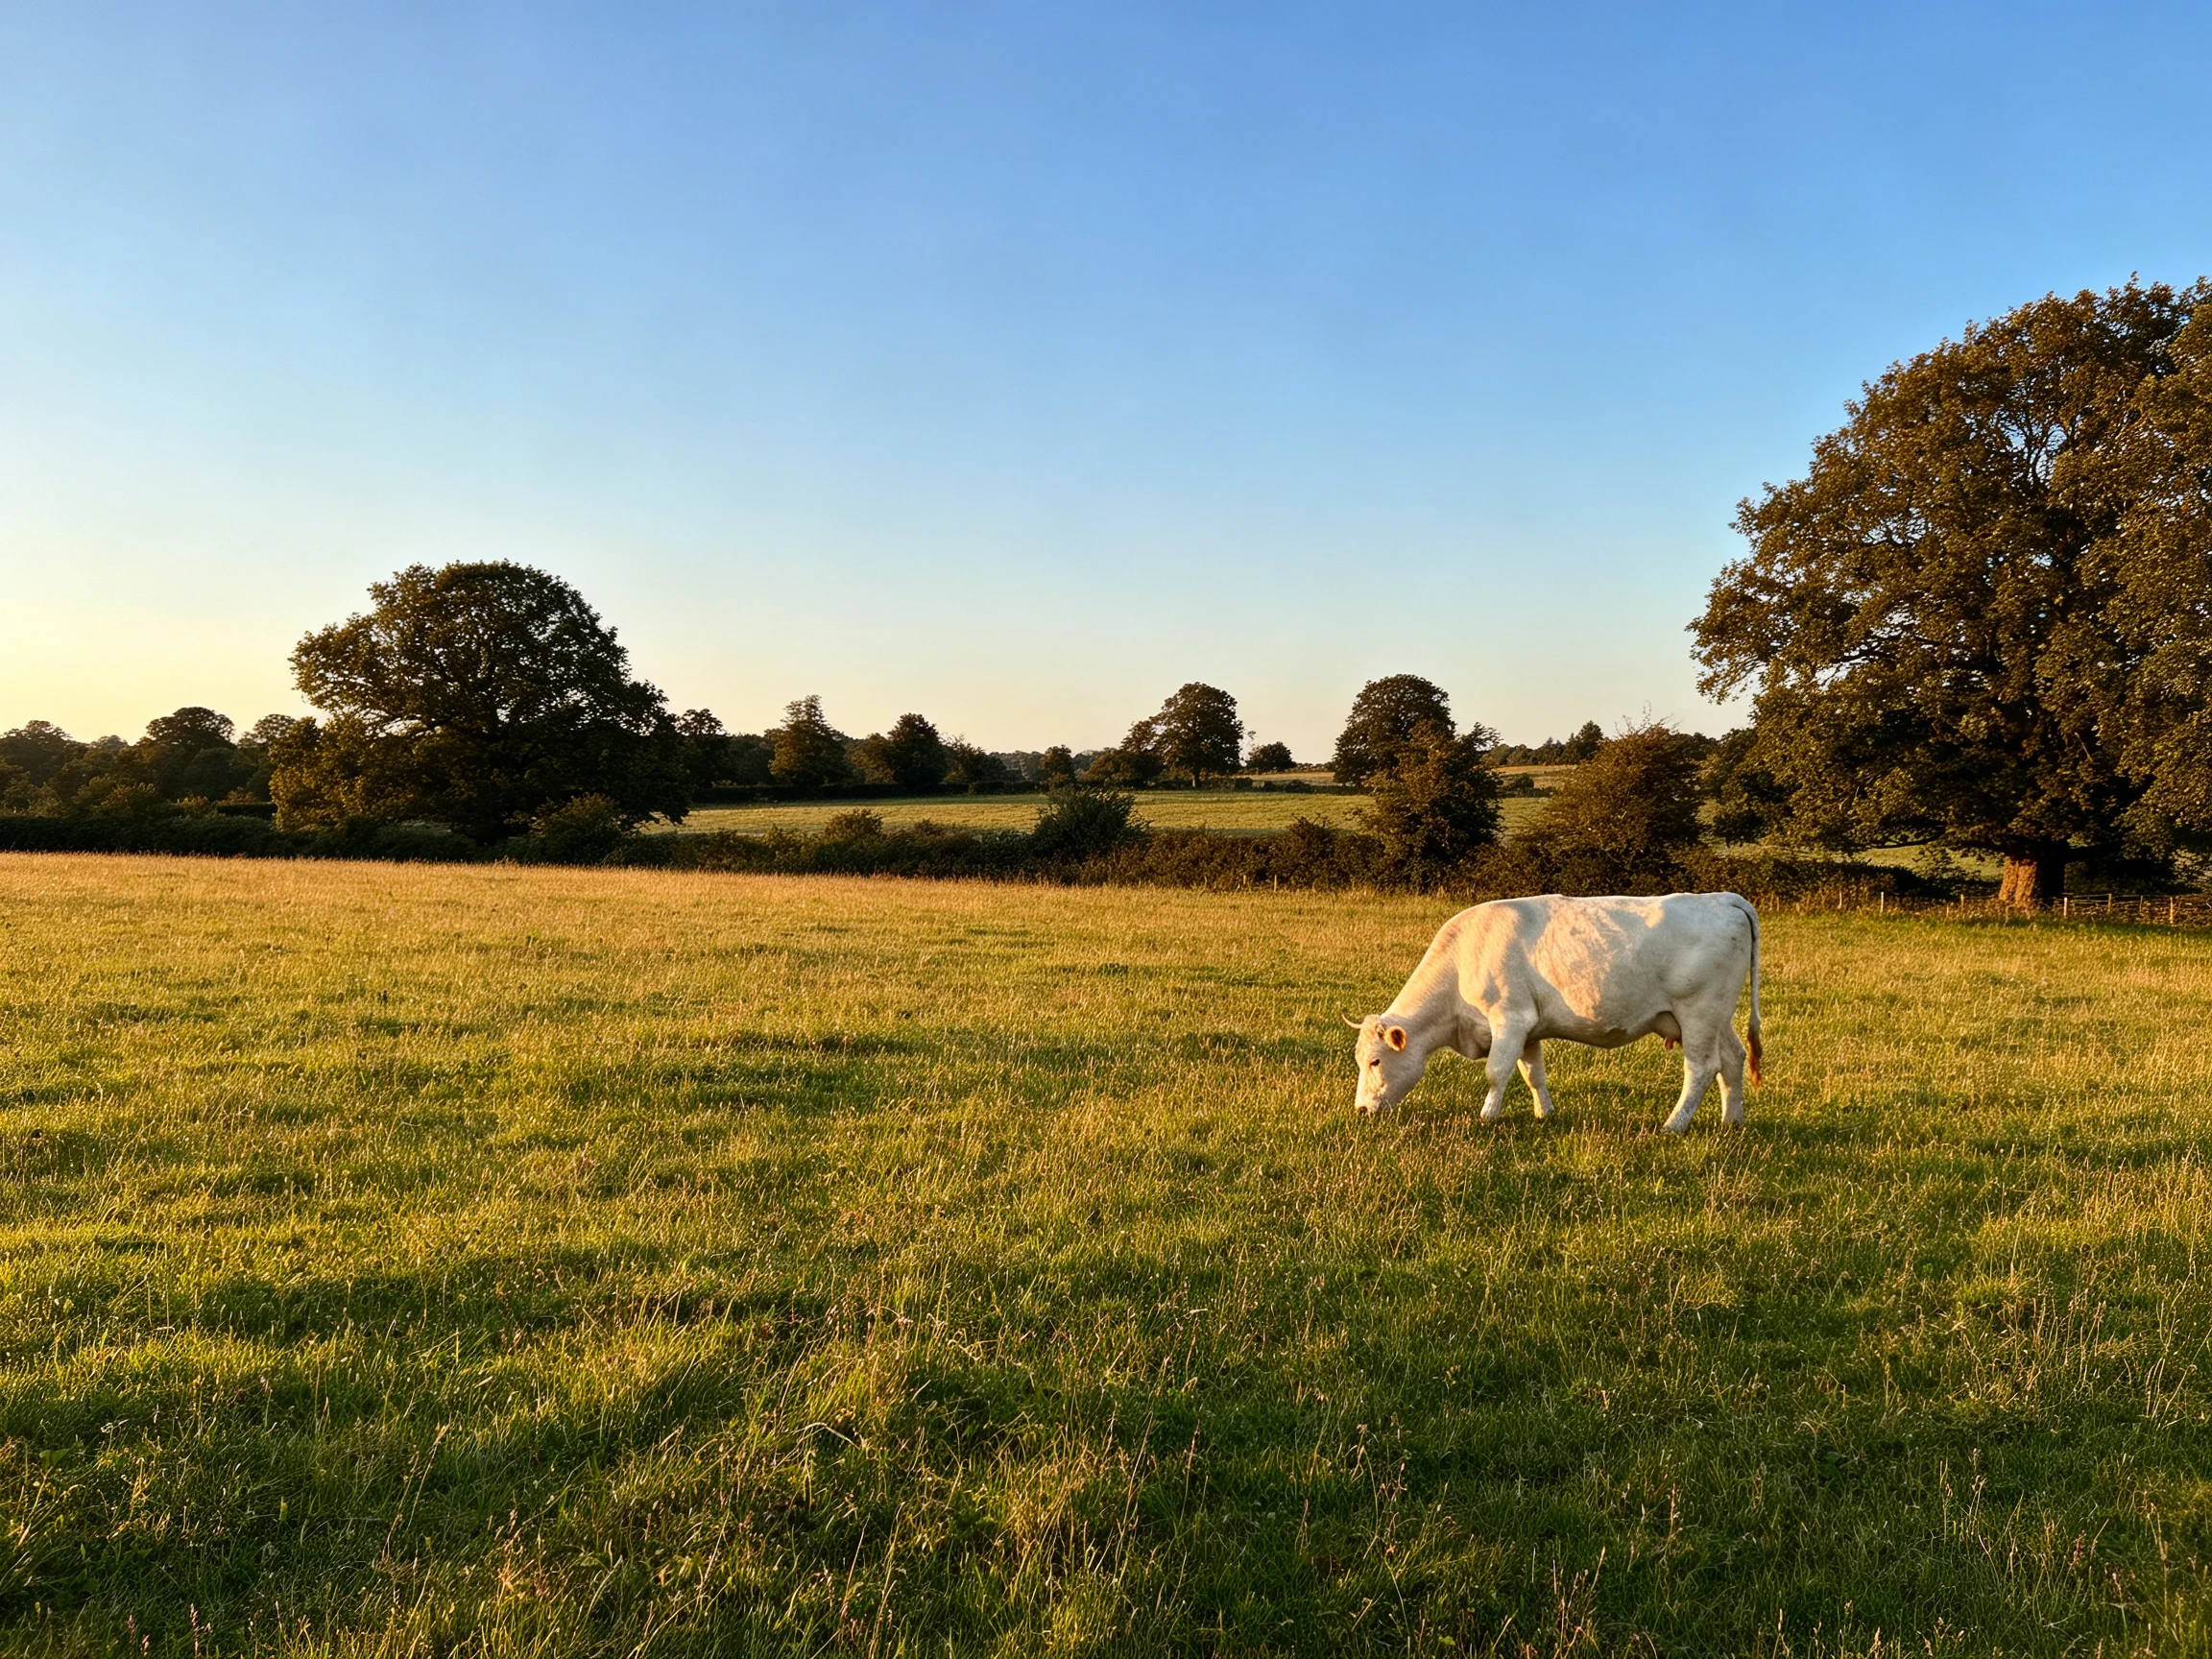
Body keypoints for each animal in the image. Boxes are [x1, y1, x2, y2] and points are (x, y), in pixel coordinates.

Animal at [1350, 891, 1762, 1133]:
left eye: (1375, 1061)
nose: (1361, 1109)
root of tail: (1723, 898)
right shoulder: (1528, 1029)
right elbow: (1533, 1074)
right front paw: (1544, 1113)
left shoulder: (1509, 1019)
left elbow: (1496, 1072)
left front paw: (1487, 1116)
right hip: (1718, 1017)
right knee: (1733, 1059)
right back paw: (1732, 1121)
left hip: (1698, 1013)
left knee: (1701, 1068)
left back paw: (1674, 1124)